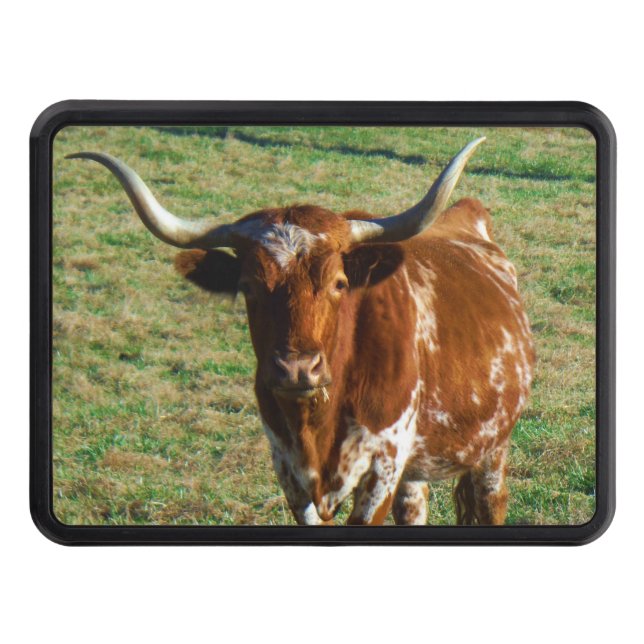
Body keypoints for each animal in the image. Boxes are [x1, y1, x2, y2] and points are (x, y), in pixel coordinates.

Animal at [68, 137, 534, 526]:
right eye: (248, 287)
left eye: (339, 284)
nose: (296, 369)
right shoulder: (289, 471)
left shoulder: (382, 467)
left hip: (492, 447)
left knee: (492, 501)